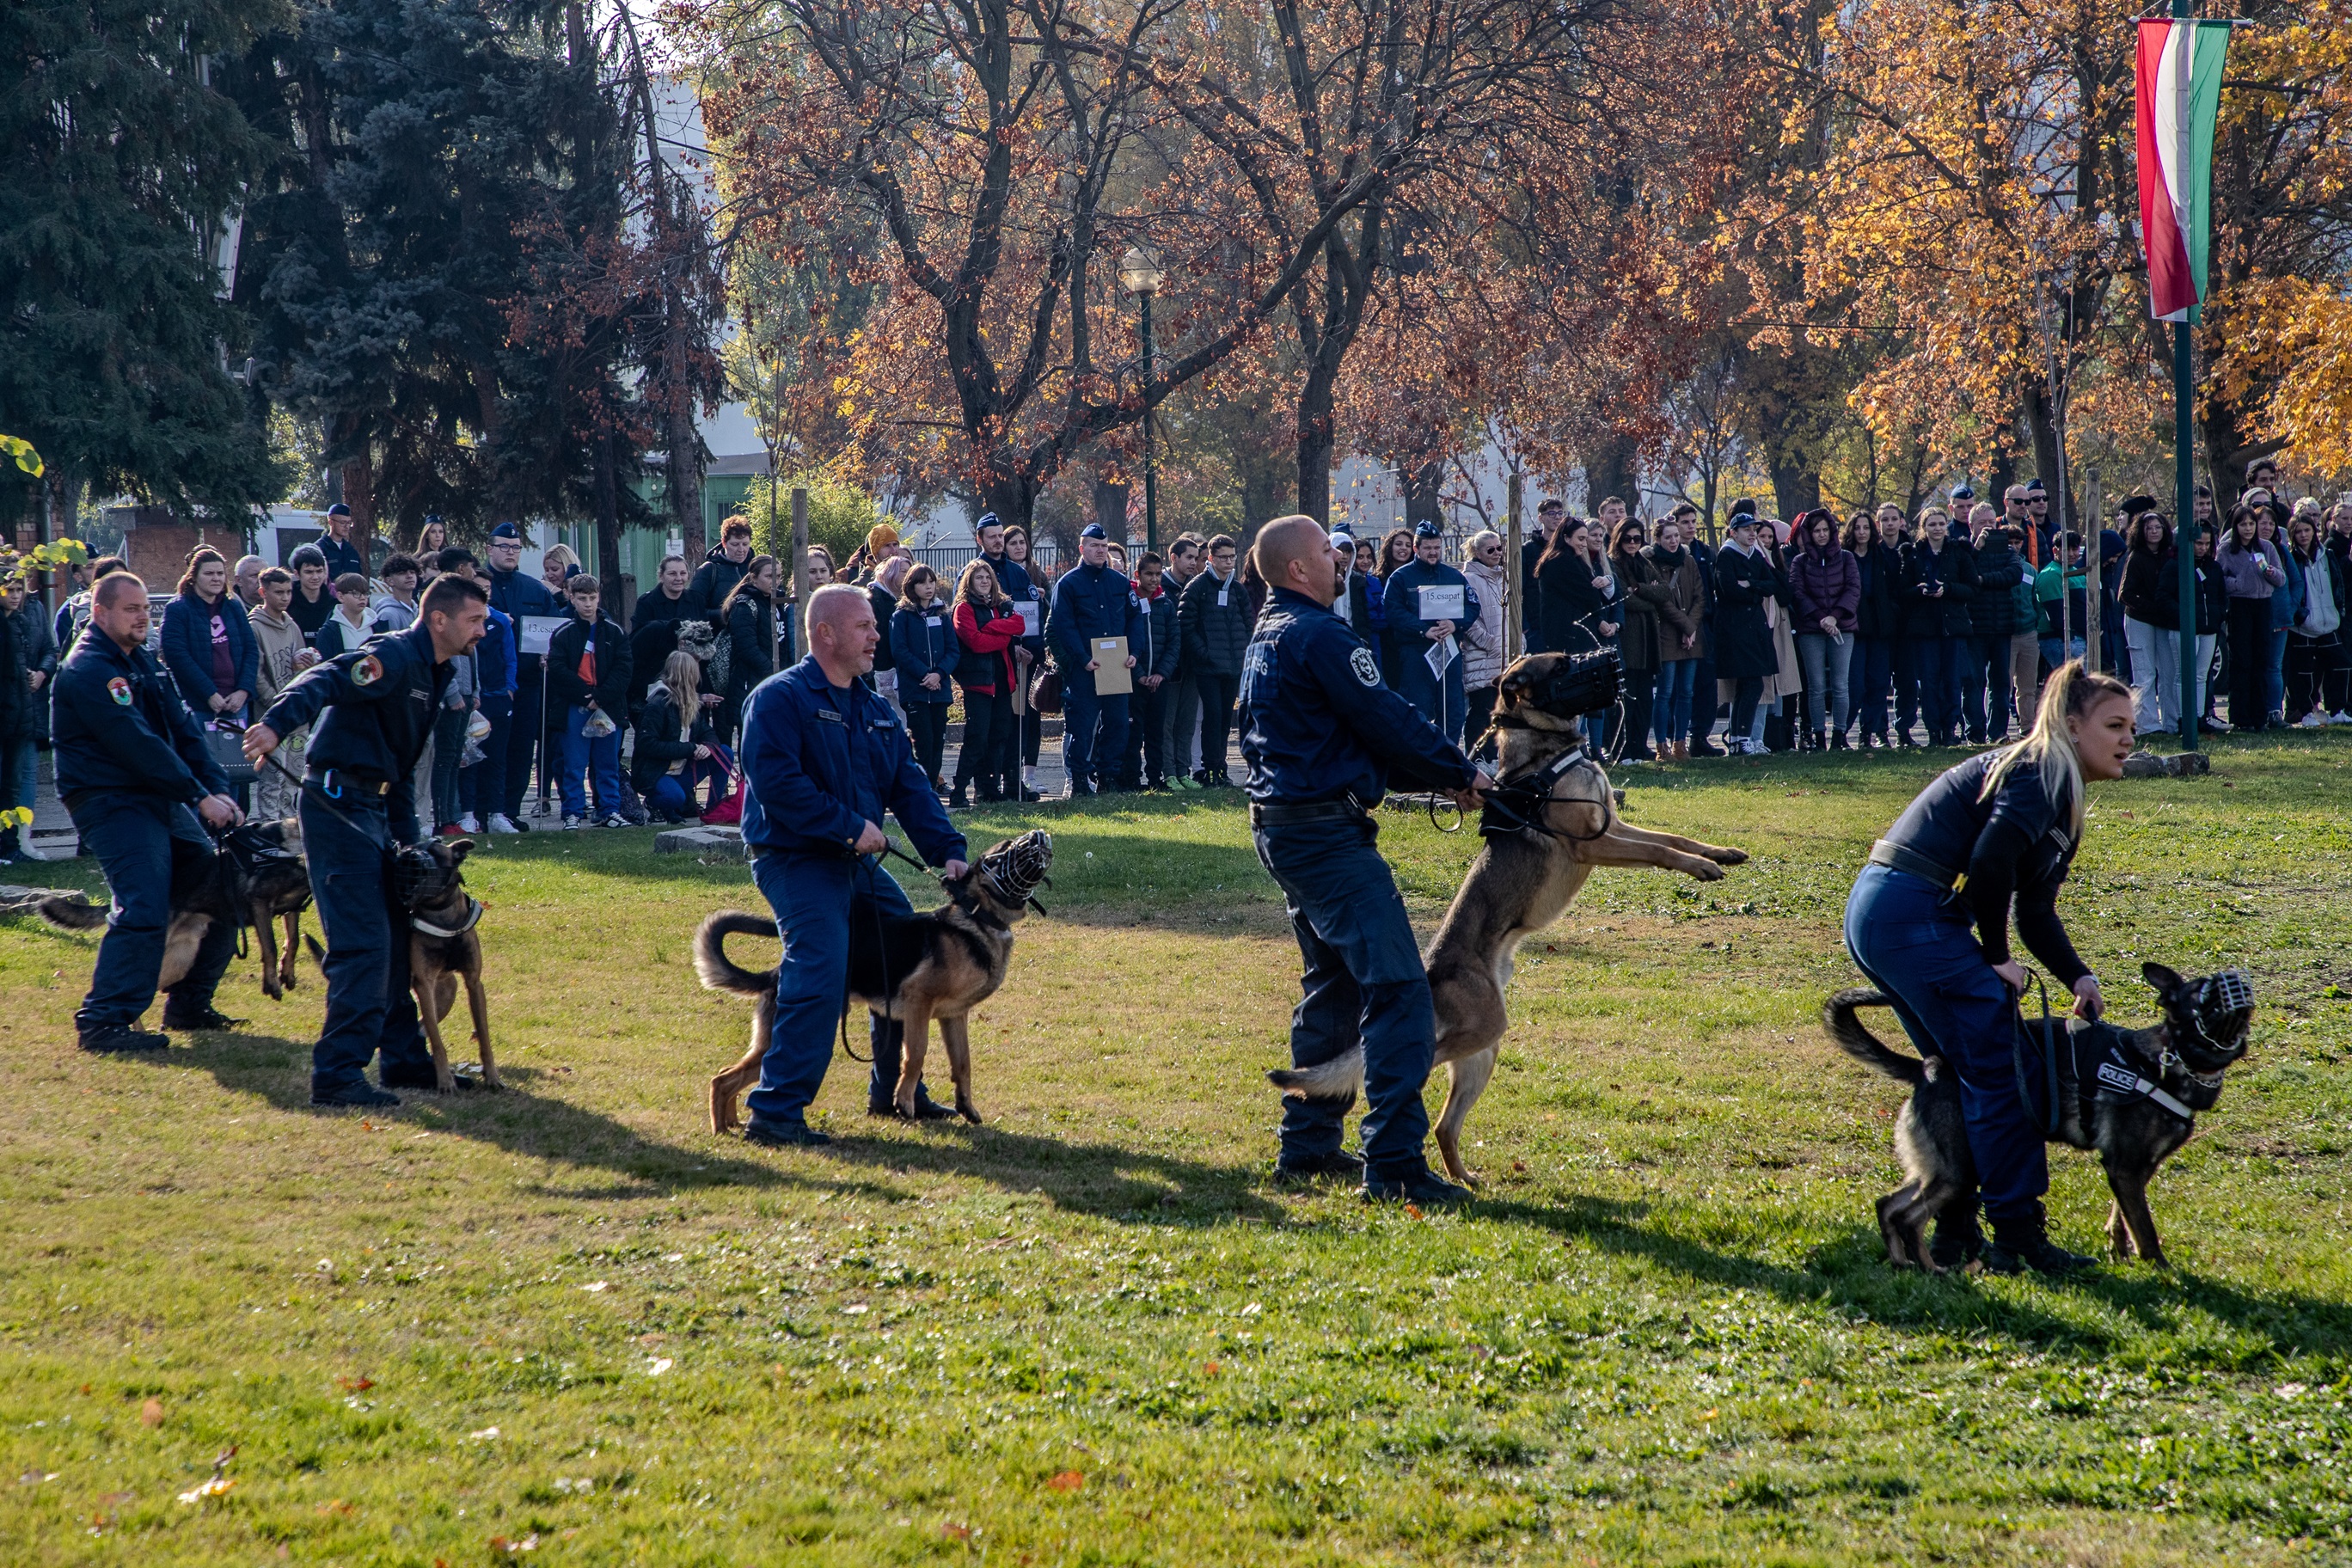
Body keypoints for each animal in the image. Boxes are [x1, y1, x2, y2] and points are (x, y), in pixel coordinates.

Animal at [27, 818, 314, 1001]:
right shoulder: (259, 903)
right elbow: (270, 947)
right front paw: (271, 983)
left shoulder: (292, 909)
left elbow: (293, 941)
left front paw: (286, 973)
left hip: (181, 957)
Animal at [697, 830, 1053, 1133]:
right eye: (1004, 850)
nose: (1040, 835)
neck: (977, 916)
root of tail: (775, 974)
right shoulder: (918, 1004)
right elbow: (916, 1055)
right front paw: (905, 1103)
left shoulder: (954, 1016)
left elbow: (963, 1063)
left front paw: (967, 1107)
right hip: (777, 1041)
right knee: (722, 1080)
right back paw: (722, 1130)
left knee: (726, 1076)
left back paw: (730, 1124)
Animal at [1269, 651, 1748, 1186]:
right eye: (1561, 665)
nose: (1612, 659)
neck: (1548, 754)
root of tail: (1431, 971)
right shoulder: (1595, 844)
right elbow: (1660, 851)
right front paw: (1702, 867)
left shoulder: (1616, 825)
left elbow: (1672, 838)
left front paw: (1719, 855)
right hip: (1483, 1030)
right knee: (1410, 1067)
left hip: (1485, 1049)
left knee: (1445, 1125)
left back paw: (1465, 1179)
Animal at [1824, 962, 2254, 1269]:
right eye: (2205, 989)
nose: (2238, 979)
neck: (2170, 1060)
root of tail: (1928, 1068)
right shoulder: (2126, 1166)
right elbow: (2145, 1230)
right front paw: (2161, 1271)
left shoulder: (2136, 1169)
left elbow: (2122, 1218)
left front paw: (2119, 1251)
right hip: (1960, 1169)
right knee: (1910, 1218)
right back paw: (1932, 1270)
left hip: (1940, 1167)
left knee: (1888, 1205)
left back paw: (1903, 1265)